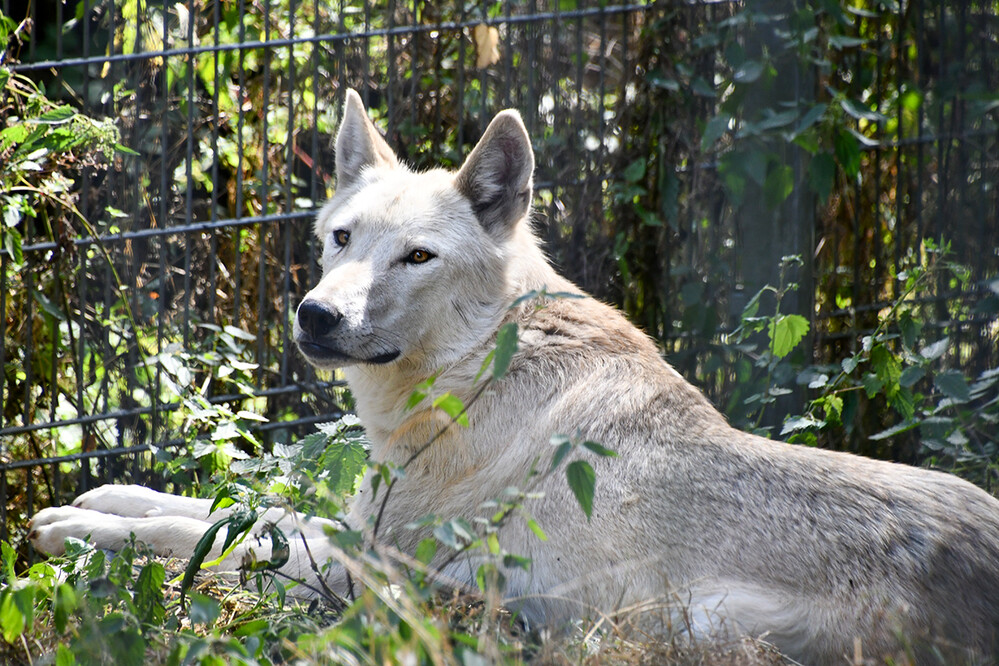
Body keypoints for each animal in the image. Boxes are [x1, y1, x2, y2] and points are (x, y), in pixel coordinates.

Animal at [27, 89, 999, 664]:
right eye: (343, 239)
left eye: (417, 257)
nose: (316, 317)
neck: (479, 367)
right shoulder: (353, 521)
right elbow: (218, 505)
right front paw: (103, 498)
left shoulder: (367, 566)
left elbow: (206, 536)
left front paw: (76, 530)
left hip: (694, 619)